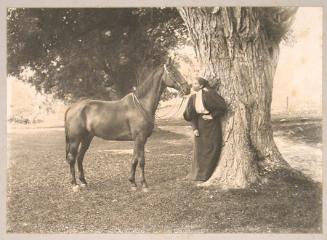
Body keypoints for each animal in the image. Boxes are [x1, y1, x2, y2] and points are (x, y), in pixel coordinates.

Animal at [64, 58, 191, 193]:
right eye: (173, 72)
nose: (187, 88)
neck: (142, 105)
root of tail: (72, 107)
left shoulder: (139, 139)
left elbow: (134, 159)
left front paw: (133, 183)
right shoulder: (140, 138)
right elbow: (141, 161)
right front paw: (144, 184)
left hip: (87, 138)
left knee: (80, 157)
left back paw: (83, 182)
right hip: (75, 139)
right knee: (72, 158)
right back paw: (75, 185)